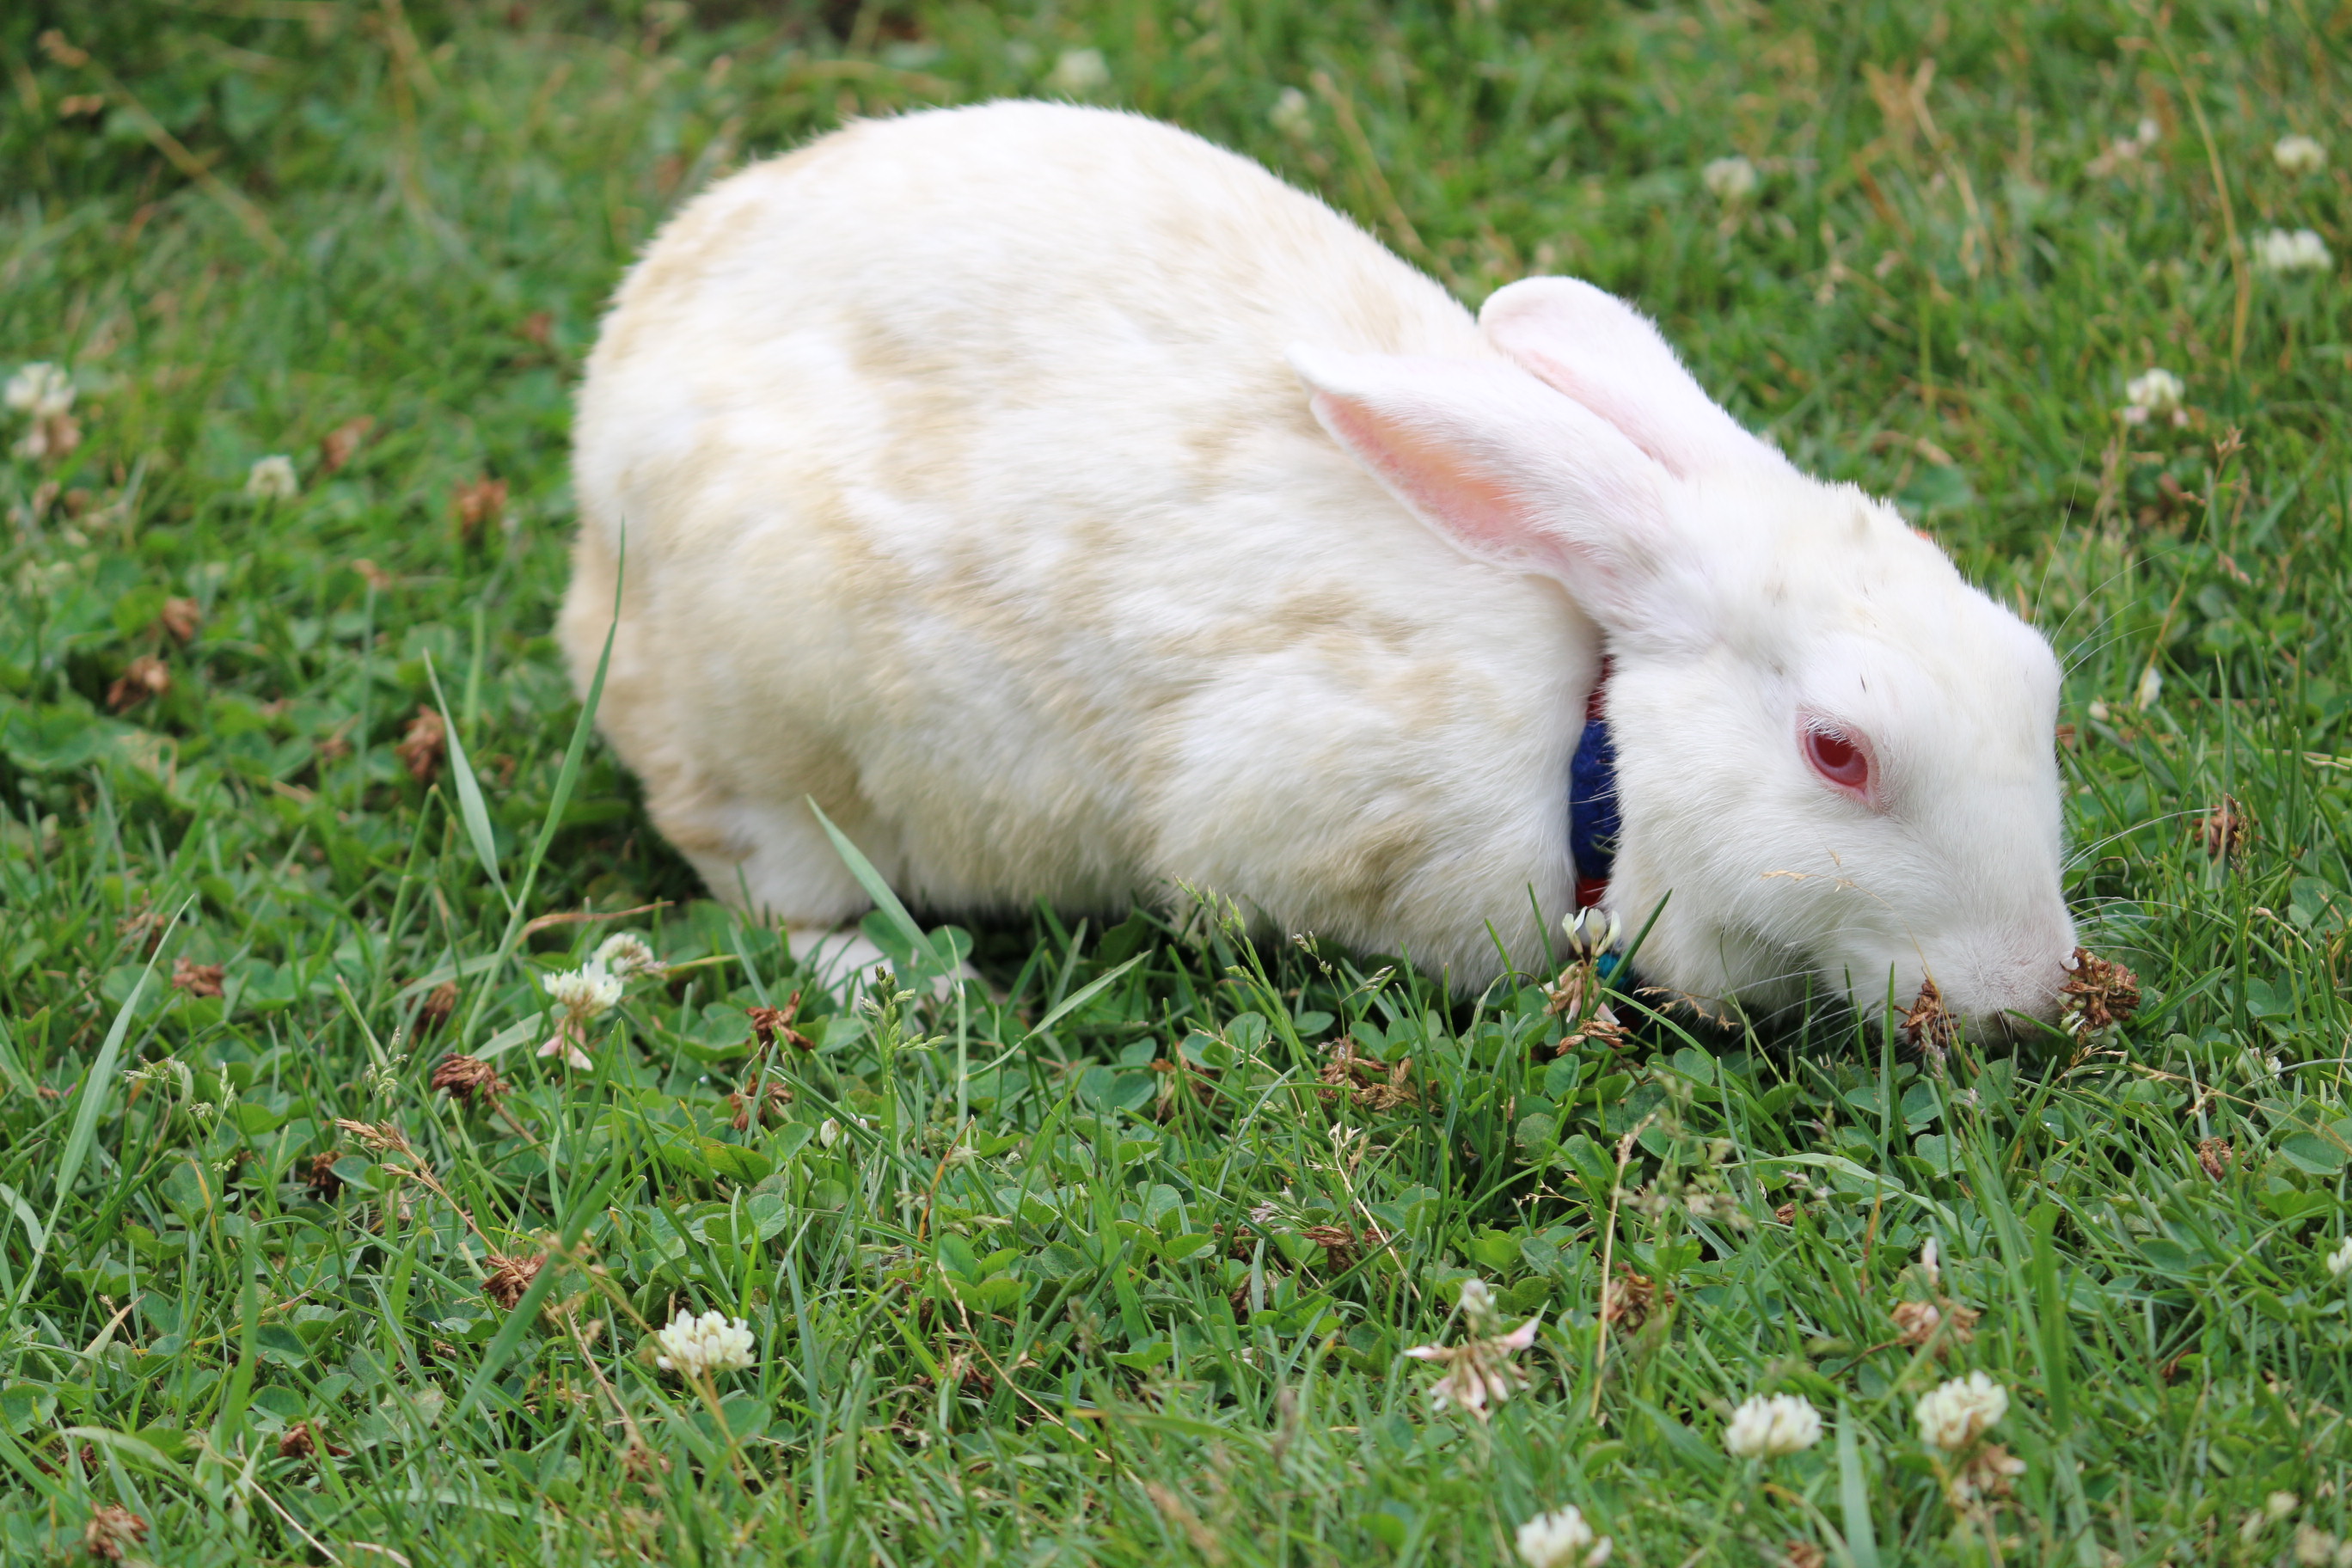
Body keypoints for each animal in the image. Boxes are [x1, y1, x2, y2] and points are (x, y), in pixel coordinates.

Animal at [569, 101, 2079, 1029]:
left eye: (2039, 676)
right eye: (1838, 752)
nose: (2034, 986)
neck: (1594, 743)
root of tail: (601, 454)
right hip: (771, 741)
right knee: (762, 889)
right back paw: (900, 981)